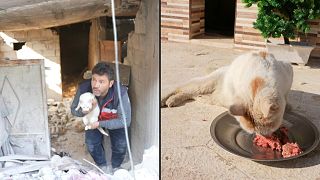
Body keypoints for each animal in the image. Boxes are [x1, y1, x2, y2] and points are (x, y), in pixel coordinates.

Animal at [161, 50, 294, 135]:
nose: (263, 137)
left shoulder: (288, 69)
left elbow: (287, 98)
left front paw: (288, 108)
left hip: (209, 96)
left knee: (193, 95)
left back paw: (173, 101)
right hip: (204, 84)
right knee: (181, 87)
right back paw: (164, 100)